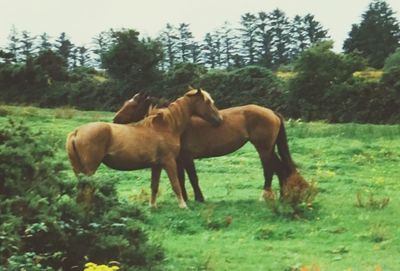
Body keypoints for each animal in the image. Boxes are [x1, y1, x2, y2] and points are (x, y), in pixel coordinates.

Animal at [65, 89, 222, 208]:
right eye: (208, 102)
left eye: (132, 105)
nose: (219, 120)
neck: (165, 127)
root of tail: (76, 132)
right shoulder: (169, 162)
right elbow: (176, 184)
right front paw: (183, 206)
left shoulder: (157, 165)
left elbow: (154, 186)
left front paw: (152, 206)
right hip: (89, 170)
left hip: (79, 170)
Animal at [112, 92, 306, 203]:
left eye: (132, 105)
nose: (115, 119)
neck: (176, 123)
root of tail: (271, 112)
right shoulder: (179, 160)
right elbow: (182, 179)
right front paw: (187, 198)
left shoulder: (187, 158)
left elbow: (192, 178)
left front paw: (198, 199)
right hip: (269, 149)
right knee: (281, 169)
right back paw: (282, 197)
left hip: (264, 149)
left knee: (270, 170)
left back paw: (265, 196)